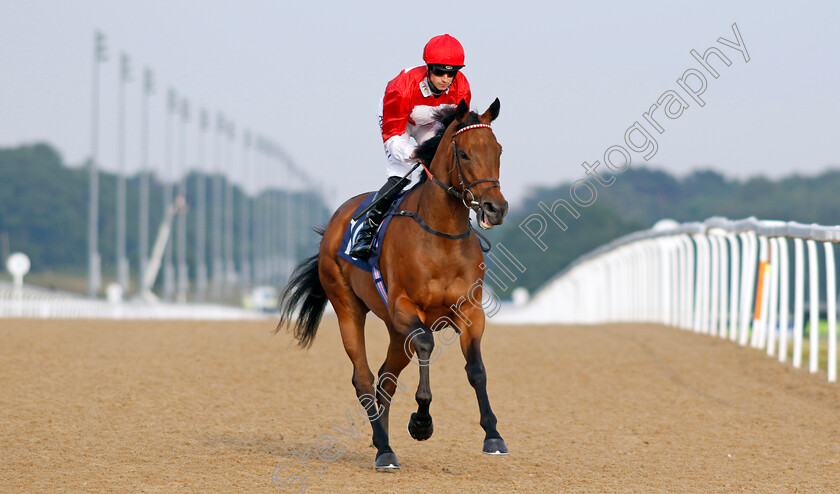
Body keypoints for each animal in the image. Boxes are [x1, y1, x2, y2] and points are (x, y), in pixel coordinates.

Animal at [278, 97, 508, 470]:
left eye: (498, 150)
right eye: (464, 154)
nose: (495, 208)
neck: (441, 237)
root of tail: (335, 221)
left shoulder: (470, 311)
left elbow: (476, 368)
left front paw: (493, 434)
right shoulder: (405, 307)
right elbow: (427, 343)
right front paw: (421, 421)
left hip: (396, 331)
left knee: (386, 377)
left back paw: (381, 440)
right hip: (348, 308)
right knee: (364, 377)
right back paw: (385, 449)